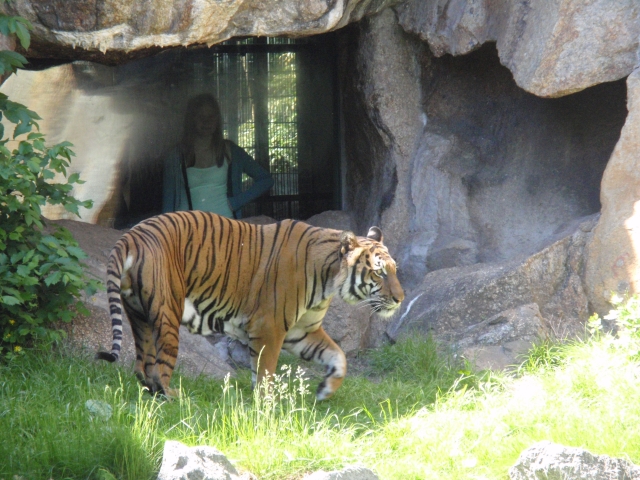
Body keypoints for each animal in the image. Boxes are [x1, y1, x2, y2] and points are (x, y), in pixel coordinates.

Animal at [96, 211, 404, 400]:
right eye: (379, 273)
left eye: (394, 270)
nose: (400, 299)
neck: (329, 281)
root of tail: (131, 235)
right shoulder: (270, 328)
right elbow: (265, 372)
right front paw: (266, 408)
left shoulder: (302, 331)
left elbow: (338, 356)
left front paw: (325, 390)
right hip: (167, 310)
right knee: (160, 369)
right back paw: (177, 400)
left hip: (138, 315)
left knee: (142, 366)